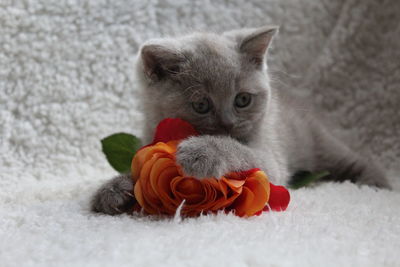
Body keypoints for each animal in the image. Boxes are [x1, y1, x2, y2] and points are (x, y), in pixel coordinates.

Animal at [90, 25, 390, 216]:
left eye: (242, 99)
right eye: (201, 104)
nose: (227, 123)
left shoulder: (271, 160)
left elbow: (239, 151)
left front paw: (202, 151)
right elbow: (137, 169)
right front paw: (113, 189)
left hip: (320, 142)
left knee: (353, 159)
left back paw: (377, 186)